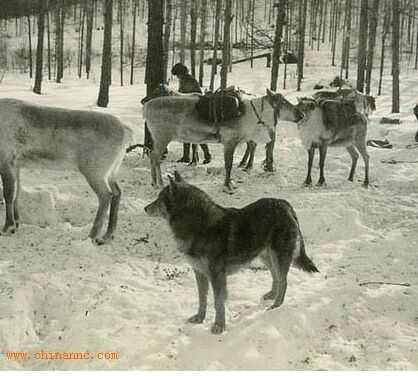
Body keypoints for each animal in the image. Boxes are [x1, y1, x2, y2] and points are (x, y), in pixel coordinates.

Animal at [145, 171, 318, 334]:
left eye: (159, 199)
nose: (145, 208)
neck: (198, 226)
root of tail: (285, 204)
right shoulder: (200, 273)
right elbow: (202, 299)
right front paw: (200, 318)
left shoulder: (216, 276)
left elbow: (218, 303)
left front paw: (219, 326)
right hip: (266, 257)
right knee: (275, 277)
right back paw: (271, 296)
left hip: (278, 257)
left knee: (283, 281)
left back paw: (276, 306)